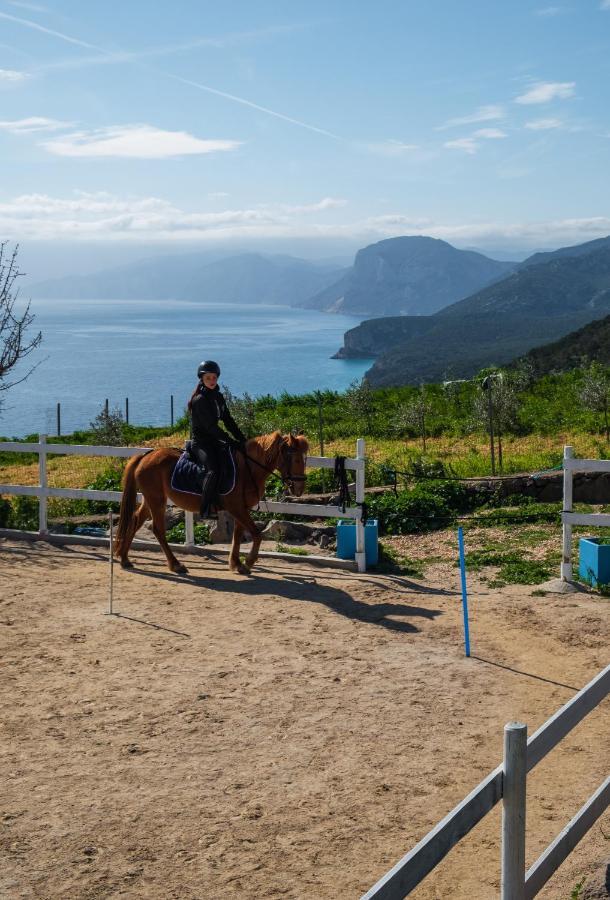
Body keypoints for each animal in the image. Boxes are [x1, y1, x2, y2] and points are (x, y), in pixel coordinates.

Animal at [112, 430, 306, 576]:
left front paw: (236, 564)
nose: (299, 488)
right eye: (296, 459)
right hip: (157, 500)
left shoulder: (241, 508)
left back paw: (124, 558)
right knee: (158, 529)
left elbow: (237, 535)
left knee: (135, 521)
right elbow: (257, 534)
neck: (246, 469)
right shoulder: (236, 507)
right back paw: (175, 564)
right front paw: (248, 562)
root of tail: (145, 455)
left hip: (151, 499)